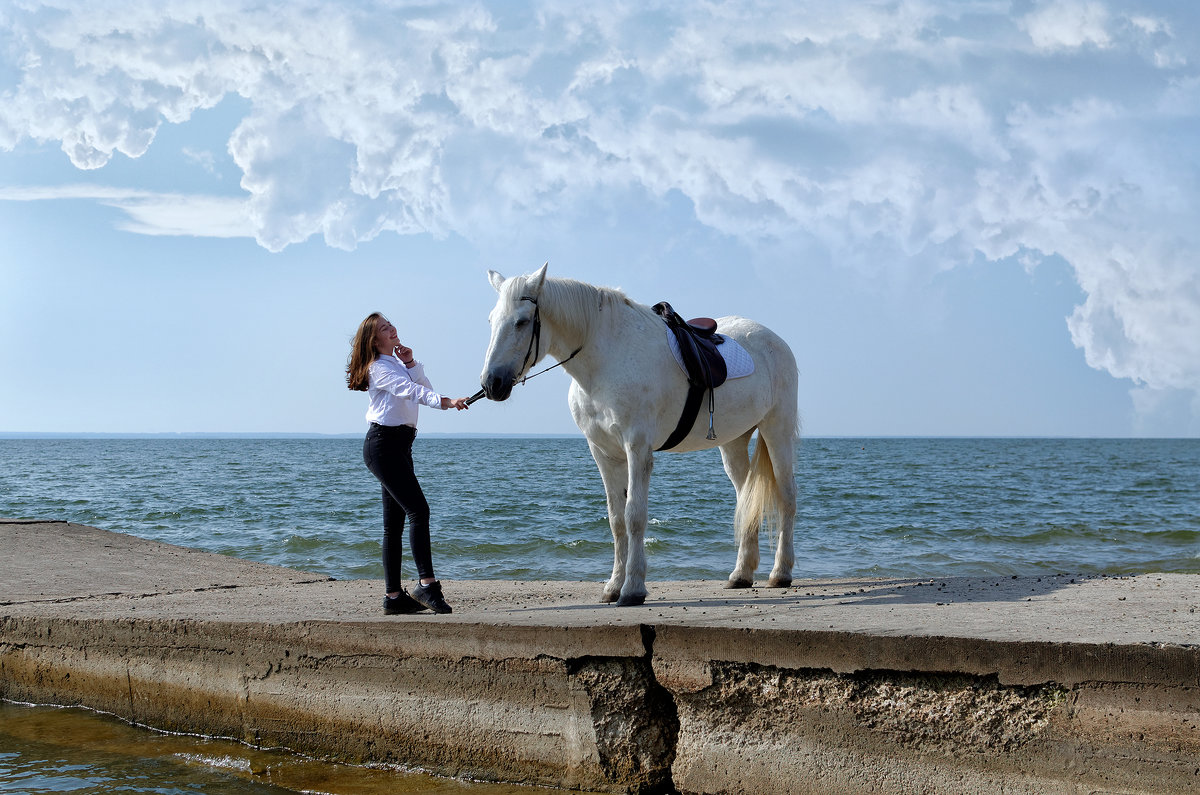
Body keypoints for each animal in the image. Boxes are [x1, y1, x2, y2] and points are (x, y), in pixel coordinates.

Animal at [477, 264, 796, 607]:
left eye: (522, 321)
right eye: (491, 320)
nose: (491, 384)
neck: (607, 359)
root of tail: (774, 339)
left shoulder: (637, 448)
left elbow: (634, 516)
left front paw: (632, 588)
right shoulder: (603, 453)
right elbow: (616, 520)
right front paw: (613, 586)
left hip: (777, 429)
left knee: (787, 497)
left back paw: (781, 573)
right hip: (733, 442)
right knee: (746, 497)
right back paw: (741, 575)